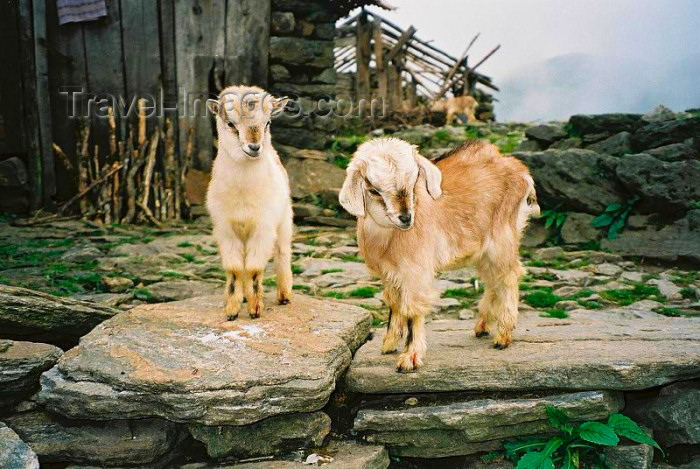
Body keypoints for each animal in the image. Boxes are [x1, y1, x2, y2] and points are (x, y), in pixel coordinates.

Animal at [205, 85, 292, 318]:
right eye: (230, 123)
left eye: (268, 122)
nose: (254, 147)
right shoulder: (225, 229)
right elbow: (235, 269)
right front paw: (232, 310)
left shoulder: (263, 228)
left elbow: (253, 268)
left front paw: (255, 310)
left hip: (284, 221)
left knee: (282, 253)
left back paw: (284, 296)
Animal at [342, 137, 540, 372]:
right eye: (373, 190)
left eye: (413, 183)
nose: (406, 218)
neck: (387, 237)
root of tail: (519, 169)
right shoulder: (390, 273)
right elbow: (394, 303)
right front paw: (389, 344)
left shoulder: (415, 270)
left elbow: (412, 308)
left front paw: (410, 357)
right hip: (484, 248)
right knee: (494, 280)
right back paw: (483, 325)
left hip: (502, 238)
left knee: (509, 277)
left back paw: (503, 335)